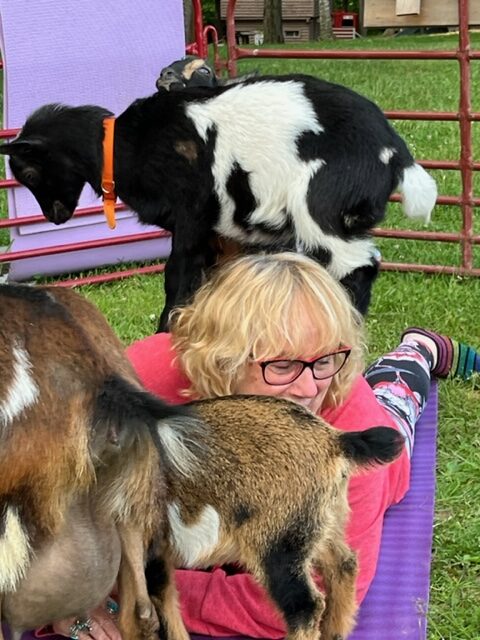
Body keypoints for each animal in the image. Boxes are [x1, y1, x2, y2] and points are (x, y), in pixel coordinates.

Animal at [0, 75, 436, 330]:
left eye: (28, 173)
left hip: (321, 207)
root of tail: (393, 149)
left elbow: (177, 277)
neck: (123, 146)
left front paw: (164, 331)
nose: (56, 217)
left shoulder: (191, 215)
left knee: (358, 266)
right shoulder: (218, 232)